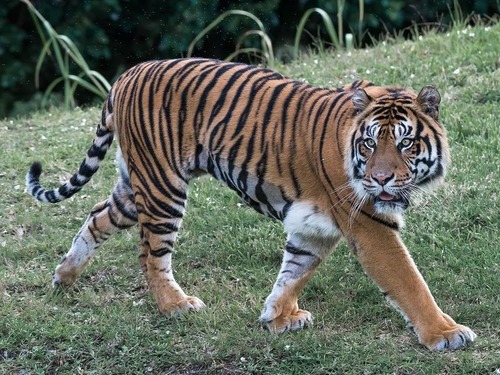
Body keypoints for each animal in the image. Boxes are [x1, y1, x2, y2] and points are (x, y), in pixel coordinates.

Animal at [26, 57, 476, 352]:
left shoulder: (312, 226)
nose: (381, 179)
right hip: (162, 188)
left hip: (135, 187)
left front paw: (277, 316)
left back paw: (65, 276)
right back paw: (175, 305)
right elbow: (409, 281)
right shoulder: (369, 225)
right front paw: (445, 333)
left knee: (97, 216)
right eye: (369, 143)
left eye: (405, 142)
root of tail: (126, 74)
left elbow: (295, 271)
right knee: (150, 254)